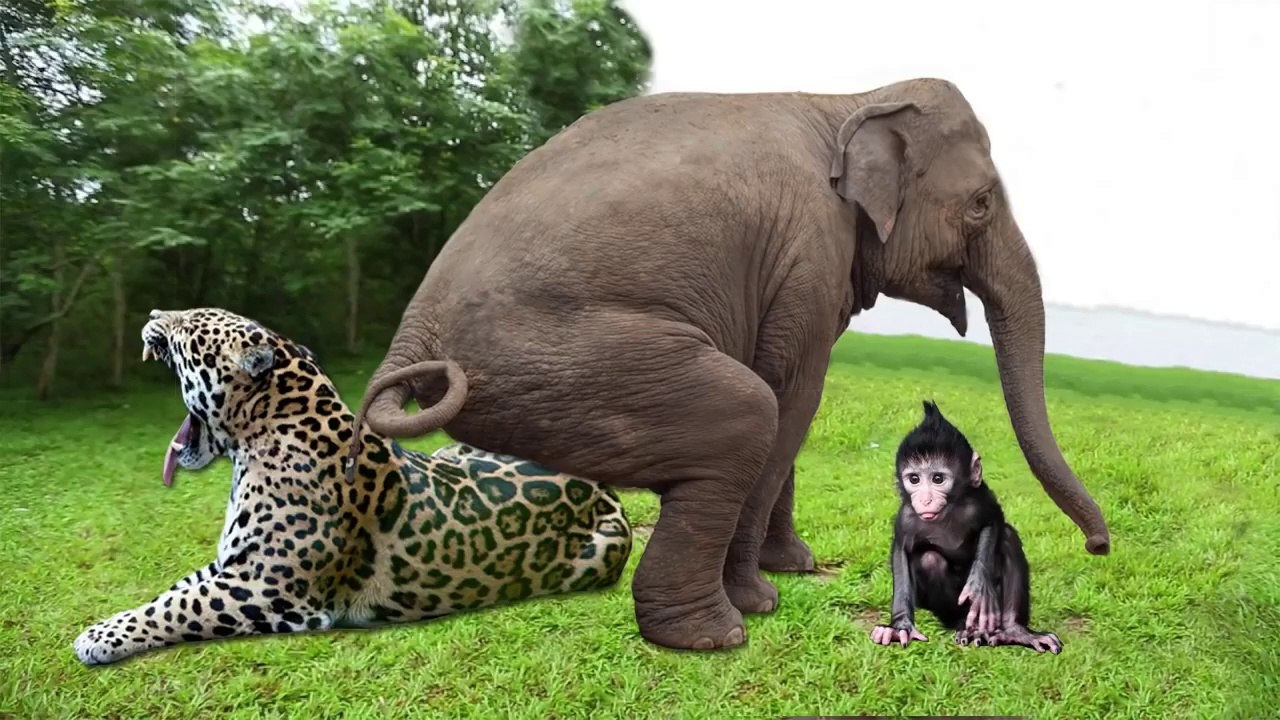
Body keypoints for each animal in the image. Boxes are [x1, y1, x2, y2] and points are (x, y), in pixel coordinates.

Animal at [870, 400, 1062, 654]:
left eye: (938, 479)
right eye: (914, 479)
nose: (925, 500)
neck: (947, 511)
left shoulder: (978, 497)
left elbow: (993, 520)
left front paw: (979, 584)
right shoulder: (907, 517)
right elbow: (901, 551)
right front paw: (899, 626)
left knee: (1007, 537)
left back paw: (1014, 631)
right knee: (931, 559)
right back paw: (964, 626)